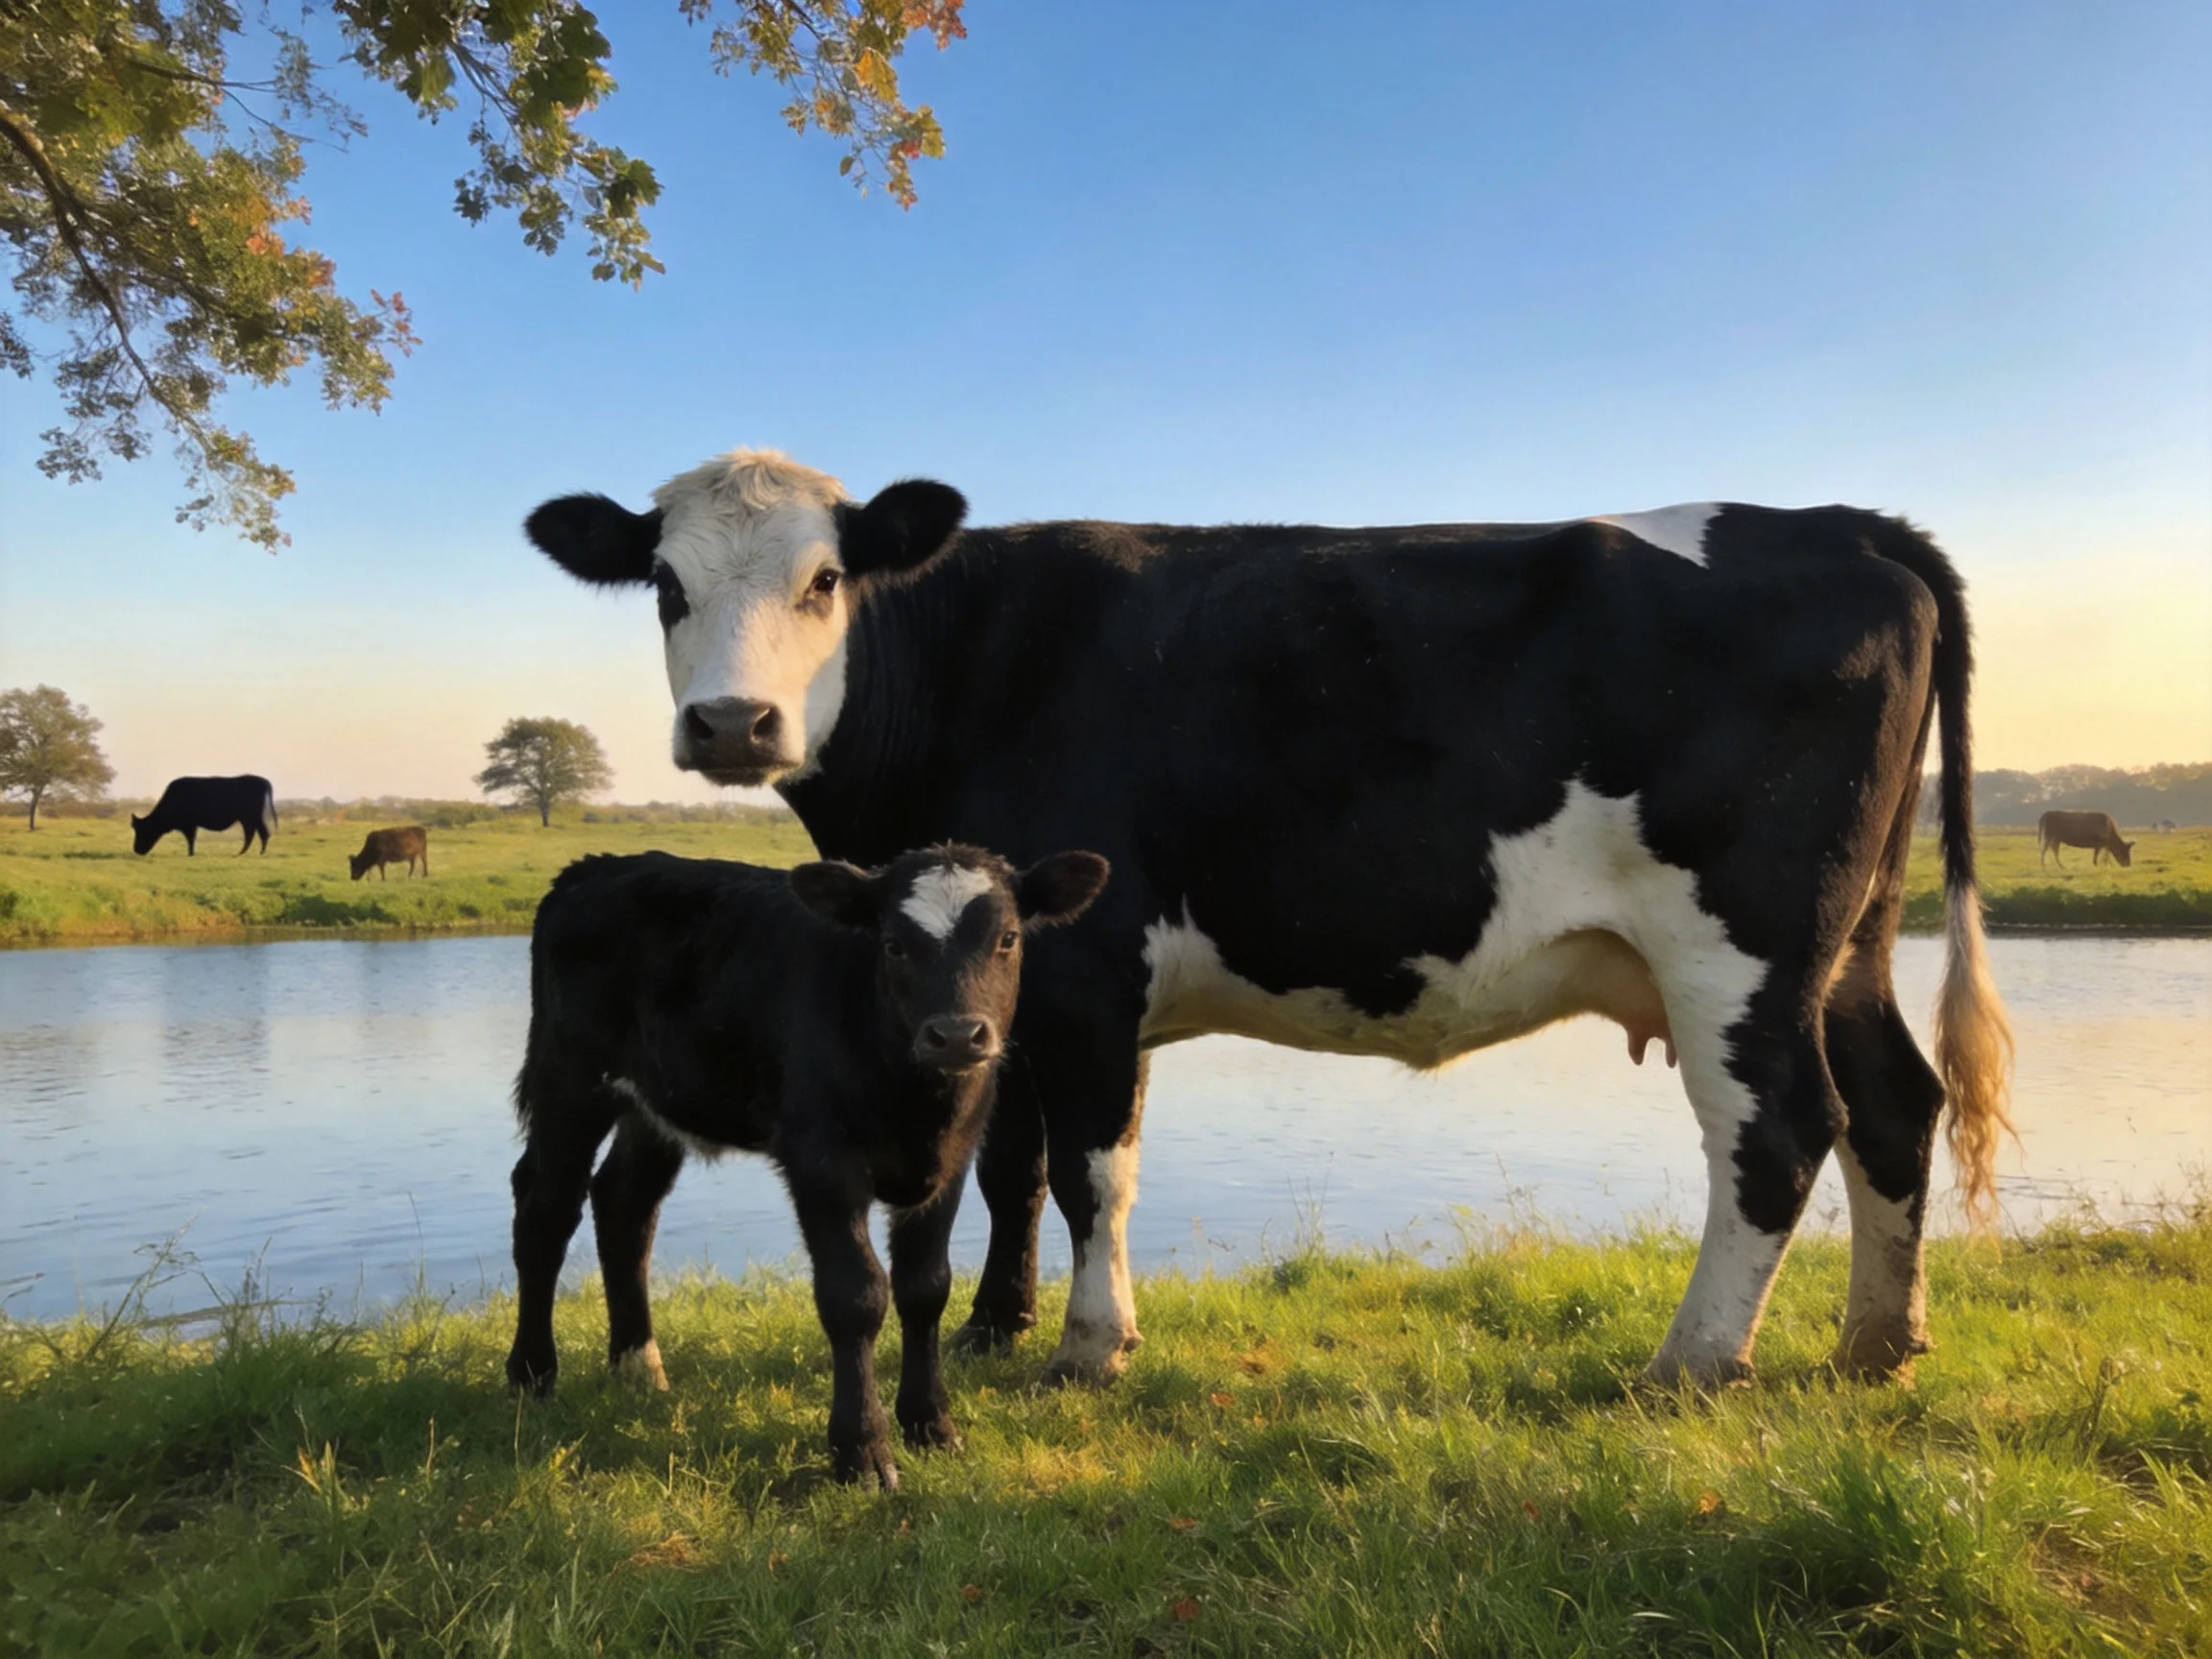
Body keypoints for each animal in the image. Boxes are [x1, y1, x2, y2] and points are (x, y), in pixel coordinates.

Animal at [131, 775, 276, 856]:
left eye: (143, 831)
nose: (137, 850)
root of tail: (263, 781)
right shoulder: (191, 825)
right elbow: (192, 839)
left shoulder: (189, 825)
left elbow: (191, 839)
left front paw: (191, 853)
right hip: (246, 819)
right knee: (252, 833)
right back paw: (243, 853)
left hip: (253, 817)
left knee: (261, 832)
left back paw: (258, 853)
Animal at [505, 843, 1109, 1487]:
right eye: (892, 943)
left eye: (1008, 938)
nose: (954, 1035)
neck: (915, 1103)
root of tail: (595, 867)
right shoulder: (820, 1160)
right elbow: (854, 1295)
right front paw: (861, 1451)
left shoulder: (949, 1163)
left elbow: (926, 1288)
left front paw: (931, 1425)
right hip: (568, 1080)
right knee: (545, 1207)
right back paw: (532, 1373)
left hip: (655, 1105)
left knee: (624, 1203)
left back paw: (638, 1366)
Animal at [523, 449, 2015, 1392]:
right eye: (667, 585)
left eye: (826, 581)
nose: (733, 723)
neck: (972, 663)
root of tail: (1844, 521)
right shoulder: (992, 983)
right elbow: (1012, 1166)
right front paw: (1006, 1330)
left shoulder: (1087, 964)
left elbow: (1092, 1169)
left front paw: (1089, 1346)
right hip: (1846, 943)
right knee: (1894, 1106)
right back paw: (1877, 1344)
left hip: (1739, 946)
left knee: (1780, 1133)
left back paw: (1694, 1363)